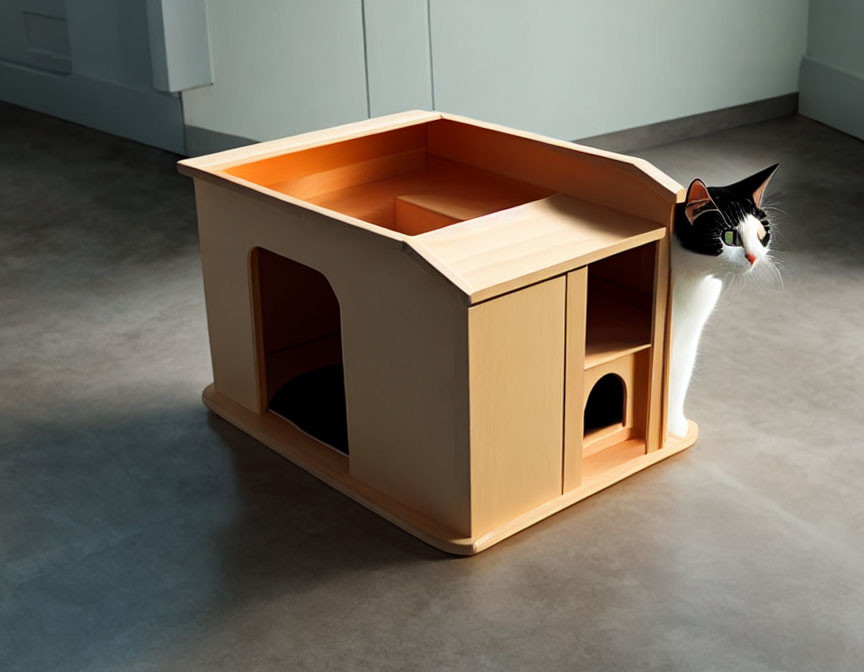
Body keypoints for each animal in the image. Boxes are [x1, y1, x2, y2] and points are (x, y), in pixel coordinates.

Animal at [664, 165, 780, 438]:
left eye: (761, 234)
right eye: (729, 237)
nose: (753, 257)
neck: (693, 282)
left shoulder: (690, 334)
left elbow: (679, 375)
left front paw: (675, 429)